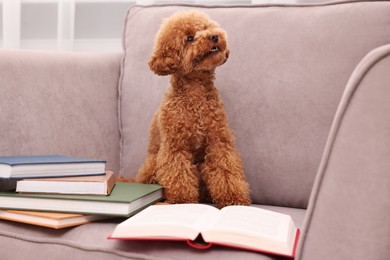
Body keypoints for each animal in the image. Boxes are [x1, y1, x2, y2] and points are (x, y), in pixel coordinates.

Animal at [137, 11, 251, 208]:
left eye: (206, 27)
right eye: (189, 38)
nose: (214, 36)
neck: (195, 93)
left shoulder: (218, 141)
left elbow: (226, 170)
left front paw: (234, 200)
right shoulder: (175, 146)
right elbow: (179, 173)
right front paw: (183, 201)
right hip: (152, 163)